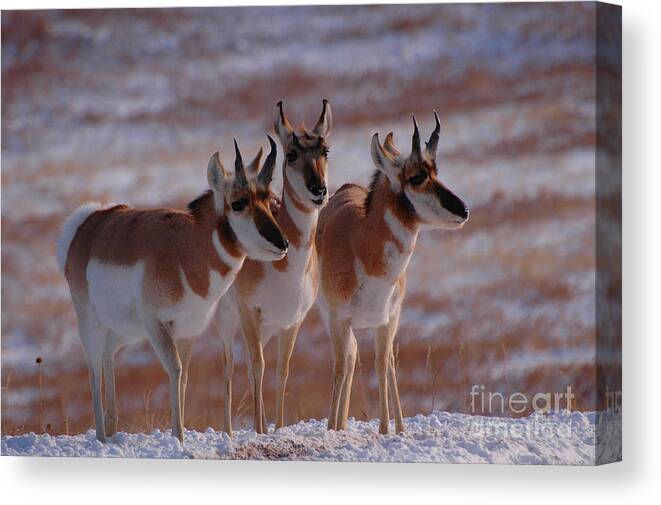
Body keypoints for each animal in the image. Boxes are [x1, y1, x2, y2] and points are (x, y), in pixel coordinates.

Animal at [59, 139, 288, 440]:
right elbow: (175, 370)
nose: (282, 243)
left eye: (270, 200)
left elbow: (184, 377)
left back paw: (111, 430)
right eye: (238, 203)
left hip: (125, 331)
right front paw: (178, 437)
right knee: (93, 368)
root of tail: (89, 221)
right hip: (92, 324)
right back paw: (100, 435)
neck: (185, 250)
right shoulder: (157, 325)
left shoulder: (188, 332)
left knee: (108, 355)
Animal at [209, 99, 332, 434]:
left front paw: (276, 428)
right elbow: (257, 366)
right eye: (291, 154)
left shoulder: (291, 322)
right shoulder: (250, 313)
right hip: (228, 320)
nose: (318, 190)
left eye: (325, 151)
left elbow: (281, 370)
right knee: (229, 366)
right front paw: (260, 430)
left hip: (264, 329)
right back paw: (228, 430)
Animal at [316, 113, 466, 434]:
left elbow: (382, 365)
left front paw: (387, 430)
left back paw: (398, 427)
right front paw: (333, 429)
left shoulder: (388, 320)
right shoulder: (339, 319)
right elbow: (341, 366)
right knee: (349, 357)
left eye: (436, 171)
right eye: (417, 177)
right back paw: (339, 424)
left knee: (383, 363)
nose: (464, 210)